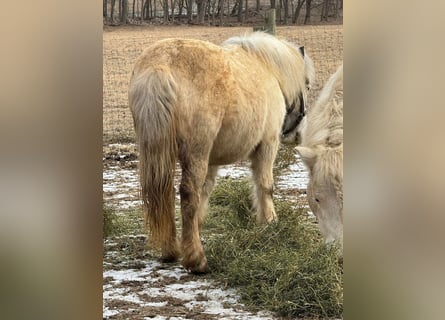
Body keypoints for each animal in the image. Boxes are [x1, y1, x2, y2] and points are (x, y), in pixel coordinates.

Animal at [128, 31, 314, 272]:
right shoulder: (267, 145)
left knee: (164, 192)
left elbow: (206, 191)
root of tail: (160, 65)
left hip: (161, 154)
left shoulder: (212, 160)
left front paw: (196, 229)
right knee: (188, 193)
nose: (298, 134)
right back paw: (197, 260)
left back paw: (171, 250)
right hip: (195, 151)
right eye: (307, 85)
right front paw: (269, 222)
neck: (267, 68)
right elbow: (265, 186)